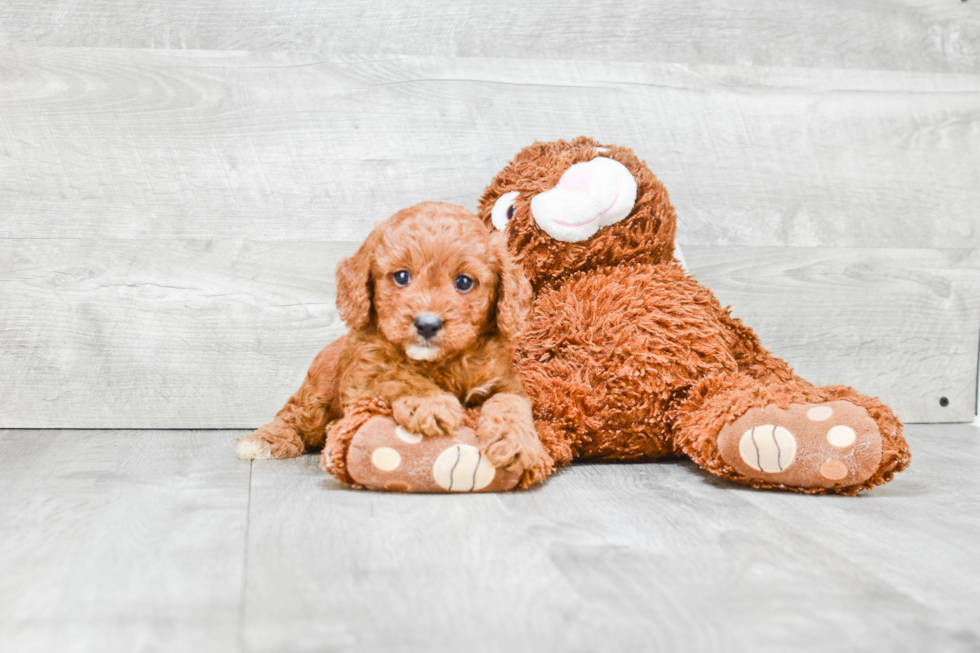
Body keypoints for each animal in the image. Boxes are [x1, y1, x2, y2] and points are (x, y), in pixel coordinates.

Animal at [237, 201, 544, 476]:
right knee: (294, 417)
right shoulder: (364, 376)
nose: (427, 325)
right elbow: (400, 377)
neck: (441, 362)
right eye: (401, 277)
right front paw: (432, 403)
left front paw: (516, 442)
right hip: (316, 395)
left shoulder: (505, 382)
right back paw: (264, 440)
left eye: (464, 282)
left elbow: (510, 404)